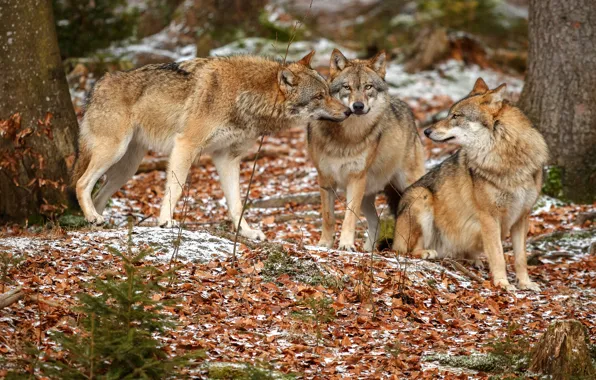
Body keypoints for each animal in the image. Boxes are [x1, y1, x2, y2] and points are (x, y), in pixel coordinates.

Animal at [72, 52, 352, 239]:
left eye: (330, 91)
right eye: (319, 96)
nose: (349, 111)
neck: (244, 96)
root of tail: (97, 85)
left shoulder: (227, 158)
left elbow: (236, 204)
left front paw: (247, 233)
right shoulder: (186, 145)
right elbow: (175, 189)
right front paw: (165, 221)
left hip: (126, 168)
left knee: (98, 195)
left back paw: (97, 222)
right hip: (114, 152)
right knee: (81, 183)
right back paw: (93, 217)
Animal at [308, 49, 428, 252]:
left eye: (368, 87)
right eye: (347, 87)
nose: (358, 106)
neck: (347, 137)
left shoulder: (356, 179)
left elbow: (349, 217)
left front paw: (346, 244)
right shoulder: (325, 179)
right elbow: (328, 217)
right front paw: (324, 244)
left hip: (409, 187)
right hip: (367, 195)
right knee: (376, 222)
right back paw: (368, 250)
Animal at [394, 77, 548, 290]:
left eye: (456, 116)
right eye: (449, 114)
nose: (426, 131)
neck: (507, 158)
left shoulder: (522, 217)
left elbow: (520, 258)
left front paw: (525, 283)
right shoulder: (489, 217)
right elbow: (498, 256)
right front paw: (502, 283)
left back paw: (473, 261)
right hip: (421, 196)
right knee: (405, 250)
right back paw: (427, 252)